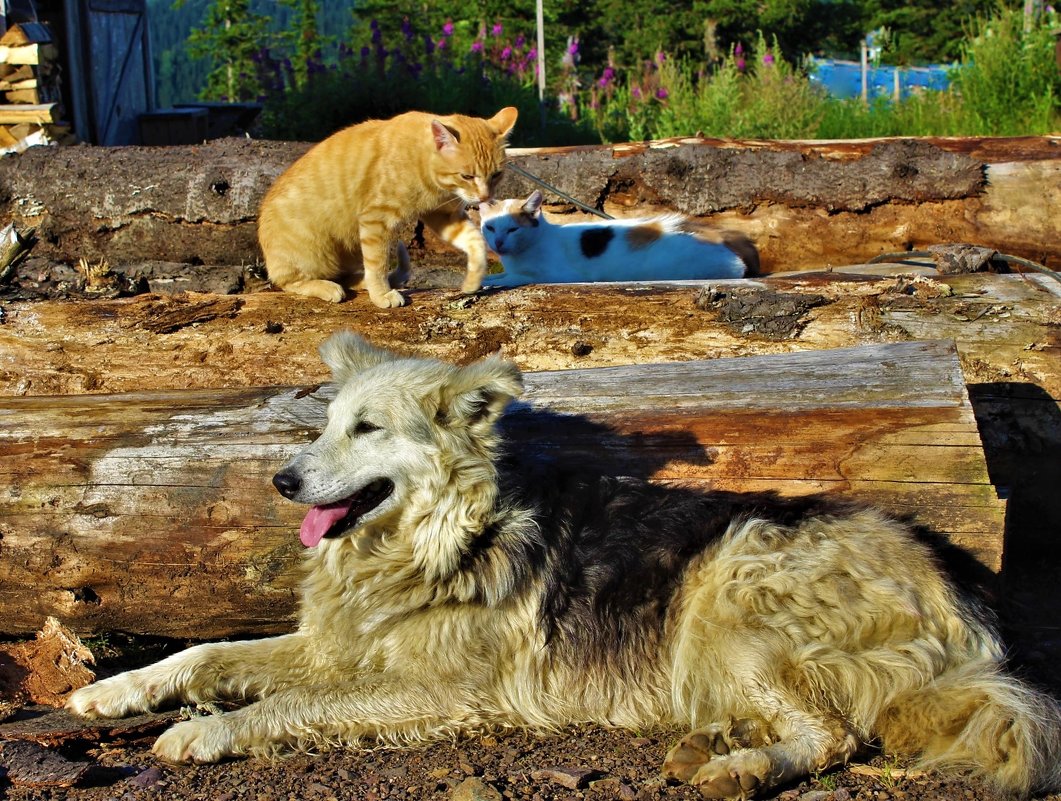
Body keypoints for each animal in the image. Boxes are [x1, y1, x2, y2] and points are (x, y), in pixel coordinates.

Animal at [261, 106, 517, 307]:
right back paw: (328, 287)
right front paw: (381, 294)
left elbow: (475, 241)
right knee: (288, 281)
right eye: (467, 176)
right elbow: (379, 263)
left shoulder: (443, 215)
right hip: (315, 251)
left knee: (344, 275)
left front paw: (474, 279)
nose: (485, 197)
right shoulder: (376, 220)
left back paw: (359, 282)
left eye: (496, 175)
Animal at [481, 189, 755, 286]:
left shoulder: (557, 274)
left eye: (513, 230)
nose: (498, 243)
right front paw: (488, 278)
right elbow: (499, 275)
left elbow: (517, 277)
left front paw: (493, 282)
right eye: (491, 228)